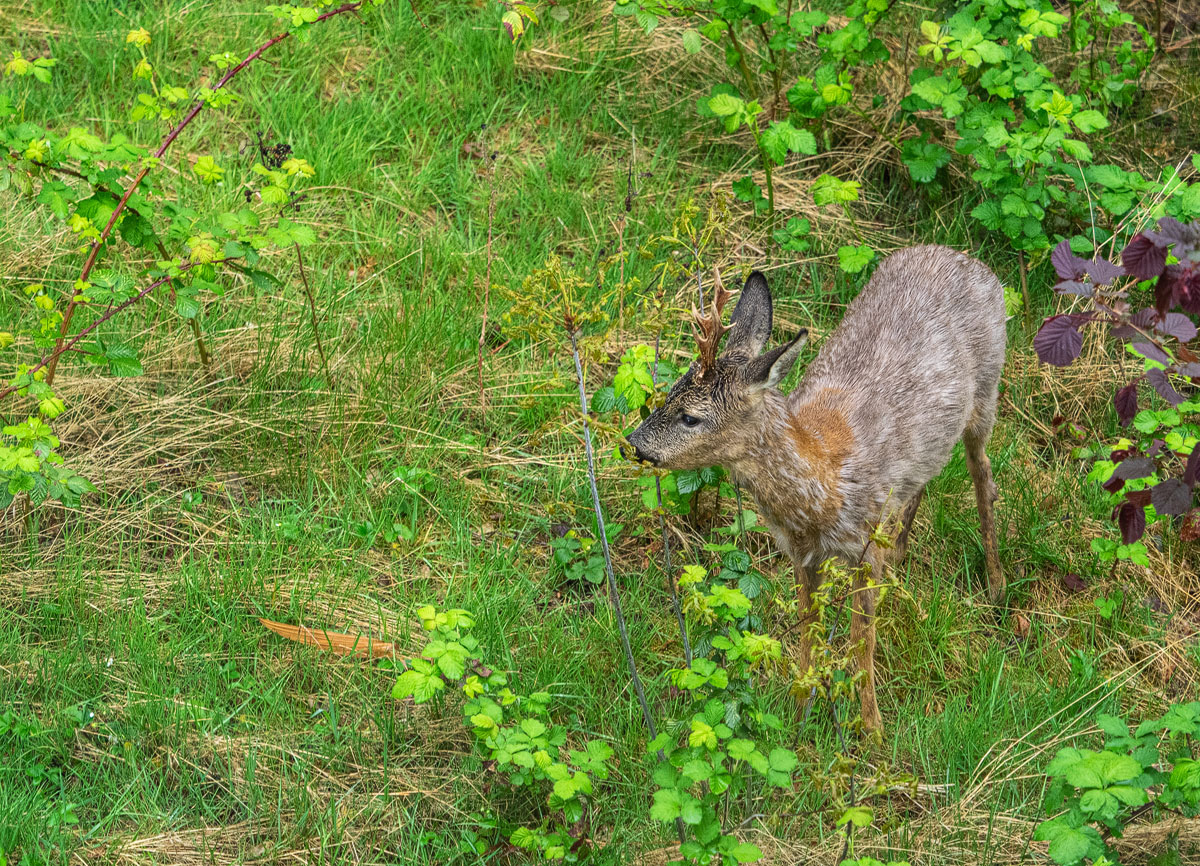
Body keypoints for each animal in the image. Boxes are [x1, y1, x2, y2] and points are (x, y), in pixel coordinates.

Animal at [626, 246, 1007, 733]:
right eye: (670, 392)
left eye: (690, 416)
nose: (635, 444)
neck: (823, 490)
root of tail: (968, 260)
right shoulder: (800, 554)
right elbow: (809, 627)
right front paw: (798, 715)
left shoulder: (865, 546)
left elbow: (862, 637)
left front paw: (872, 730)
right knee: (927, 481)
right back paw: (904, 553)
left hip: (987, 392)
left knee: (983, 475)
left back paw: (996, 586)